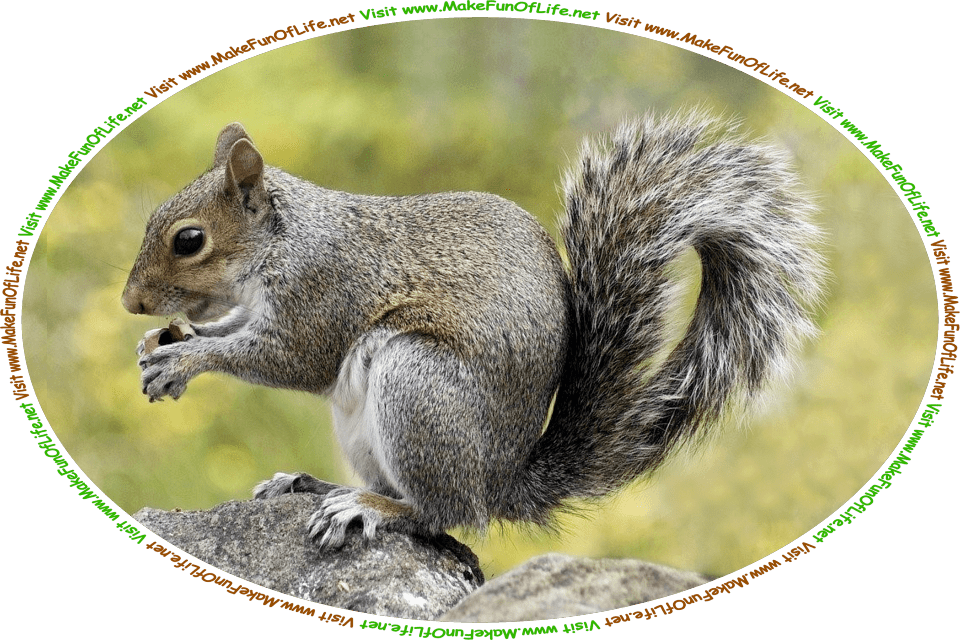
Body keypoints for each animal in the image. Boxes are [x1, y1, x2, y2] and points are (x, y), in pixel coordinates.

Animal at [122, 112, 824, 549]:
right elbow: (238, 327)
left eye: (189, 240)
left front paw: (184, 360)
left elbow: (290, 357)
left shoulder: (324, 292)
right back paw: (314, 484)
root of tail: (499, 481)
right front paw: (166, 342)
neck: (286, 239)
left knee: (443, 515)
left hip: (417, 385)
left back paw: (369, 508)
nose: (131, 303)